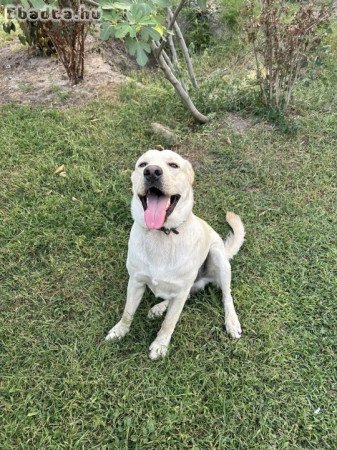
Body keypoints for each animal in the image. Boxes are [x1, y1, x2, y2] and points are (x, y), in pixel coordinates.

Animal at [105, 149, 244, 360]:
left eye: (173, 165)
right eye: (142, 164)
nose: (152, 172)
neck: (162, 235)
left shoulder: (179, 291)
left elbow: (169, 323)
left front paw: (160, 346)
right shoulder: (136, 281)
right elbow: (128, 312)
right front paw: (119, 331)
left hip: (218, 257)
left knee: (226, 296)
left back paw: (232, 322)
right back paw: (159, 308)